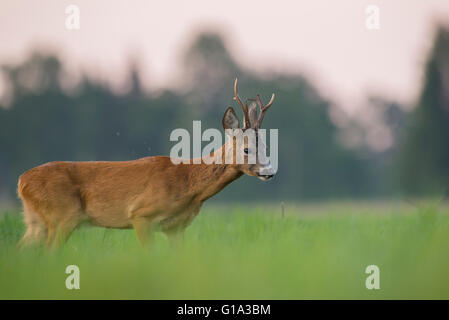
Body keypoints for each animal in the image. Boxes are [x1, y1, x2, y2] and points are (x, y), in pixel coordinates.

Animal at [17, 79, 274, 249]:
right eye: (247, 149)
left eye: (265, 146)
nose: (269, 171)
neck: (187, 184)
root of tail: (22, 181)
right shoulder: (140, 215)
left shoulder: (176, 227)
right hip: (63, 215)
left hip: (37, 222)